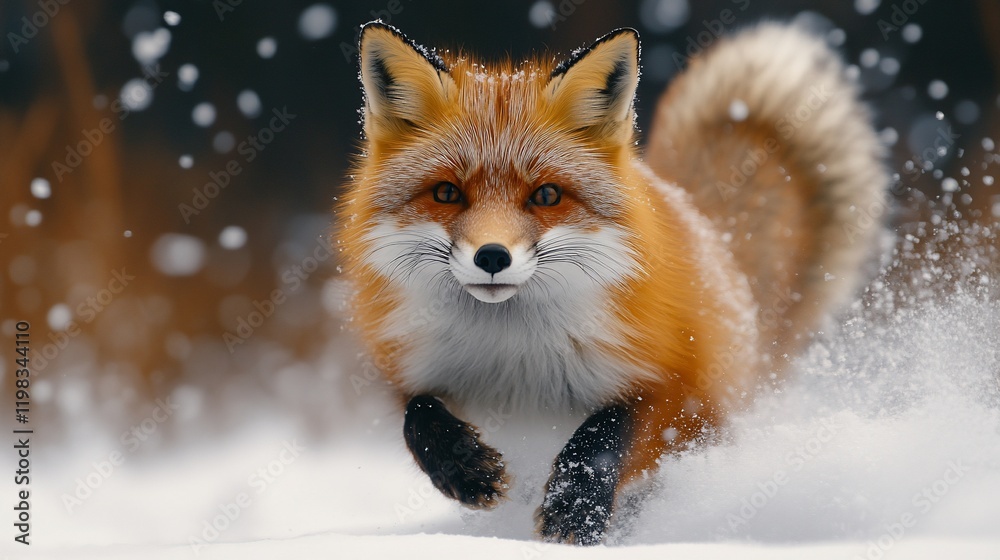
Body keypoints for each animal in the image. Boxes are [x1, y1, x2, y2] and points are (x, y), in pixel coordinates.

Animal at [336, 20, 887, 545]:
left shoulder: (680, 388)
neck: (514, 357)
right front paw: (464, 469)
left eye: (546, 195)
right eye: (447, 193)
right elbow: (418, 416)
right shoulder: (410, 370)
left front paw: (574, 510)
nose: (492, 256)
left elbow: (606, 434)